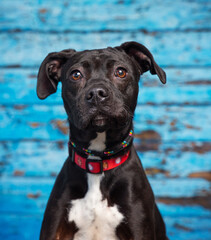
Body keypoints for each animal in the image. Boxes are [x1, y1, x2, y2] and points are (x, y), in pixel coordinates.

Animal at [36, 41, 168, 240]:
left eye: (120, 72)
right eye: (76, 74)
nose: (96, 93)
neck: (97, 164)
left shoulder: (139, 228)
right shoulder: (53, 230)